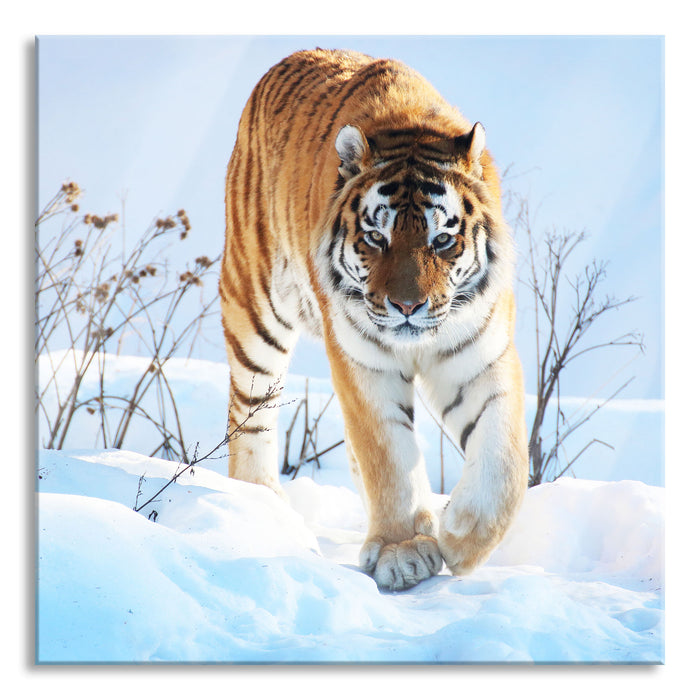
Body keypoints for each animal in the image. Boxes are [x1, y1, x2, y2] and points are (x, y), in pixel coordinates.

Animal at [219, 48, 528, 591]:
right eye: (375, 238)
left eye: (441, 240)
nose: (406, 306)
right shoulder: (363, 361)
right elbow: (388, 453)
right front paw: (403, 551)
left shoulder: (479, 356)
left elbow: (505, 458)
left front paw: (461, 536)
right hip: (254, 309)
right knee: (251, 412)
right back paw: (261, 505)